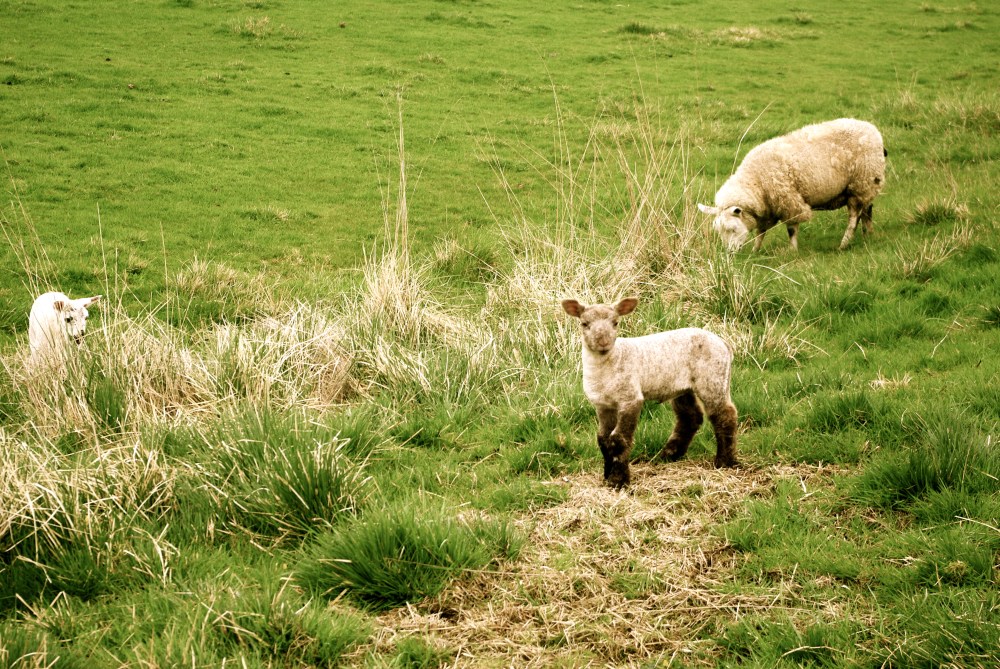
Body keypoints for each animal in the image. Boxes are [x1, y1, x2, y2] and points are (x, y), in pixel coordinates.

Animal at [562, 297, 738, 488]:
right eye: (584, 323)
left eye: (615, 323)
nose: (603, 341)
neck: (609, 363)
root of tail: (723, 342)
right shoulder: (603, 405)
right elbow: (603, 439)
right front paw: (607, 476)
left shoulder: (630, 398)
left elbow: (619, 439)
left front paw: (618, 480)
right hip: (682, 387)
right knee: (690, 417)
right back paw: (669, 455)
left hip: (713, 377)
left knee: (724, 415)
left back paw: (724, 461)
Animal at [698, 118, 886, 252]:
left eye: (732, 229)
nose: (729, 254)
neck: (756, 181)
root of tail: (874, 131)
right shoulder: (768, 209)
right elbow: (760, 232)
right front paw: (755, 251)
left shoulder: (788, 201)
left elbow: (791, 229)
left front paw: (792, 250)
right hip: (866, 186)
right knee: (867, 210)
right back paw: (869, 235)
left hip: (861, 182)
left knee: (854, 217)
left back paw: (844, 244)